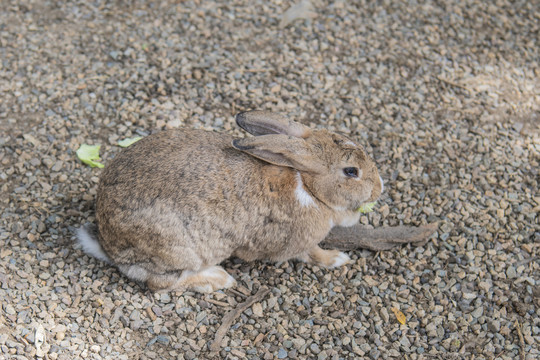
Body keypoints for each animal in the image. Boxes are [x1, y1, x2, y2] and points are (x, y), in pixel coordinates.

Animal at [78, 112, 384, 292]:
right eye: (351, 172)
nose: (379, 189)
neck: (306, 184)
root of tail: (108, 243)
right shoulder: (297, 243)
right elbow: (312, 254)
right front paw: (337, 259)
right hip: (176, 248)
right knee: (160, 282)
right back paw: (217, 279)